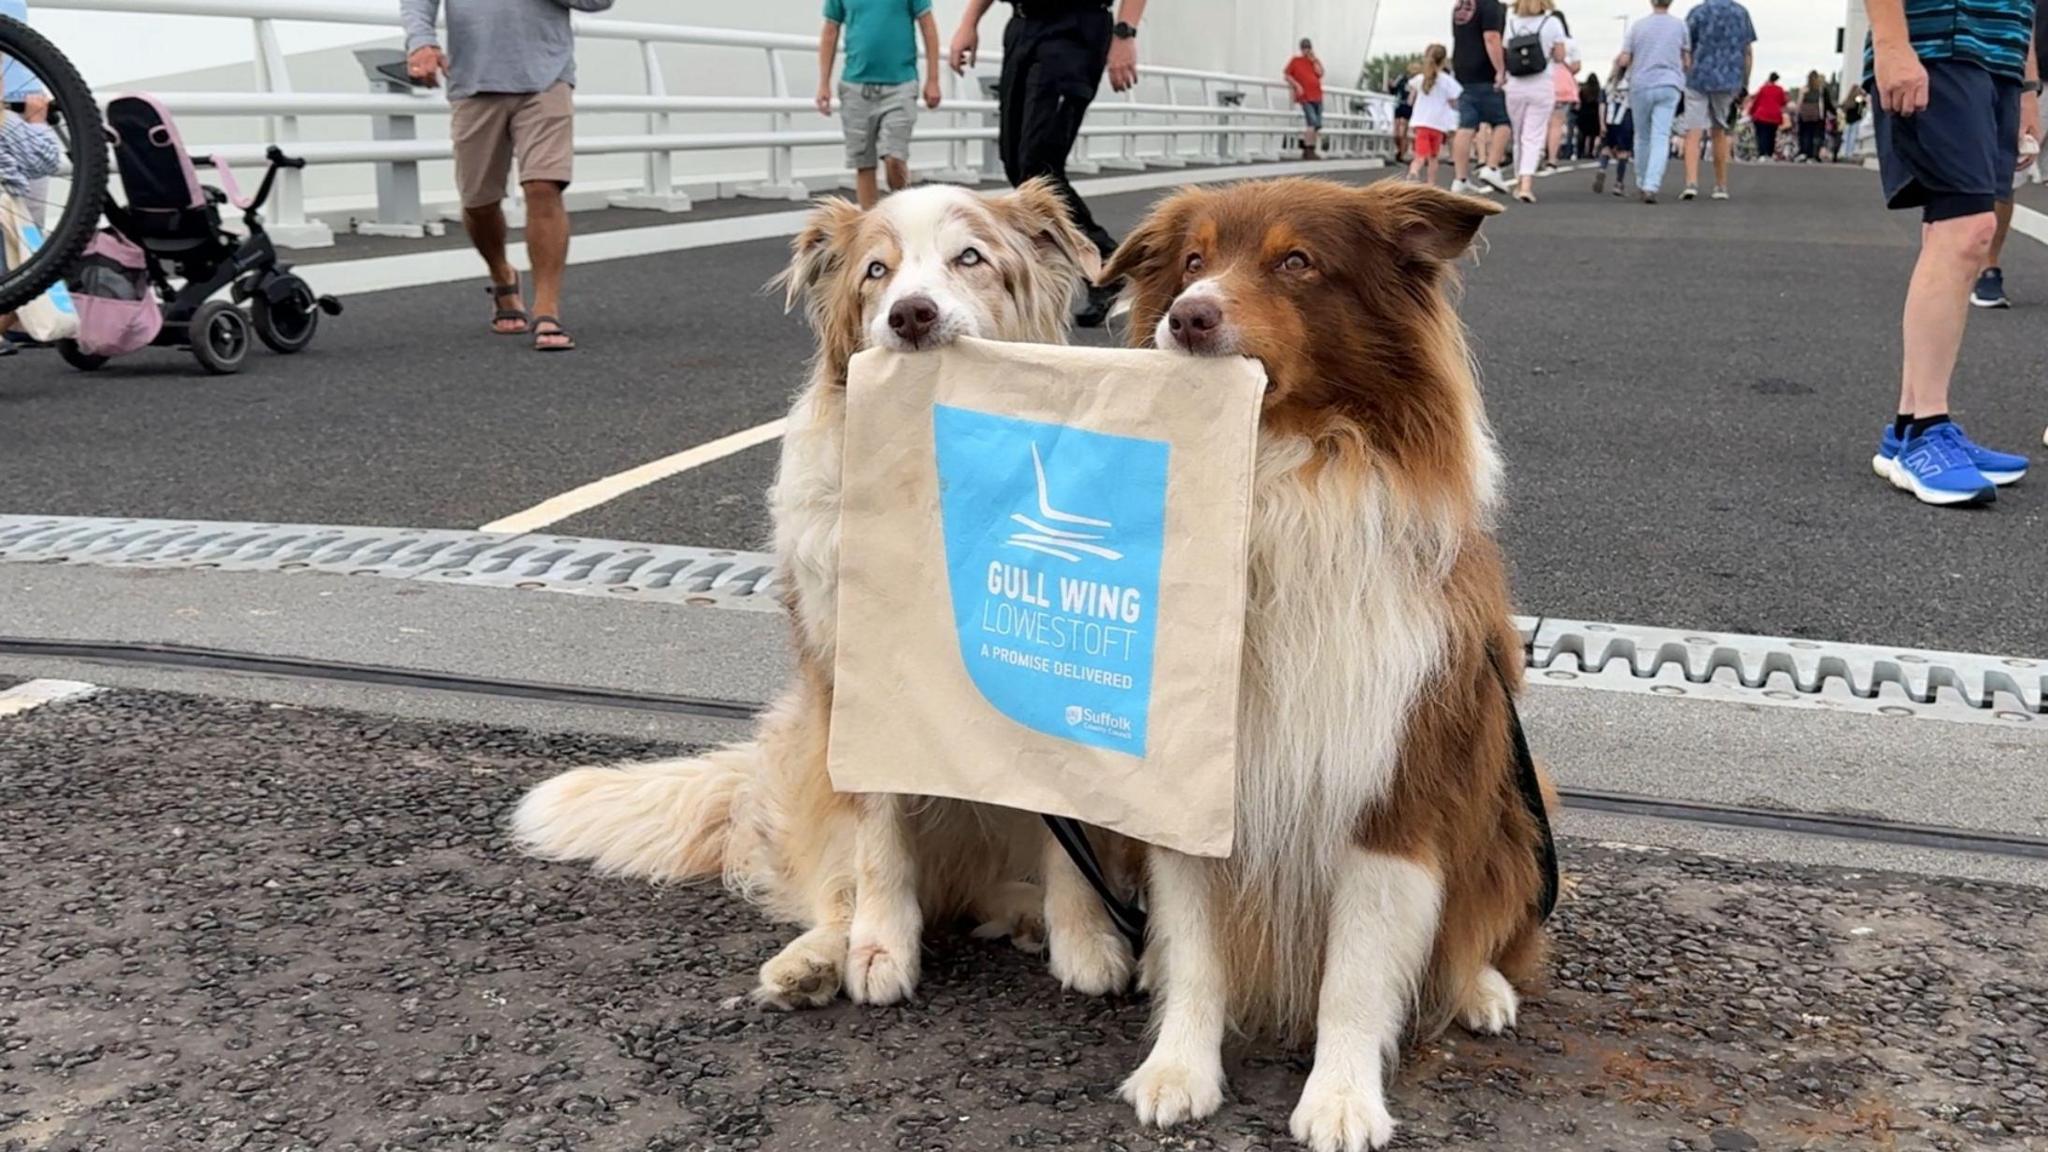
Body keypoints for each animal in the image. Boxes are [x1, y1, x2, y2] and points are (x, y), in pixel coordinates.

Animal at [505, 177, 1146, 1004]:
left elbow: (1066, 837)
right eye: (877, 271)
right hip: (810, 757)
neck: (931, 475)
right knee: (838, 884)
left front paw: (1086, 938)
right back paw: (815, 962)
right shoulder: (853, 686)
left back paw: (1029, 915)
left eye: (970, 258)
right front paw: (878, 947)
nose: (911, 314)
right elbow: (877, 841)